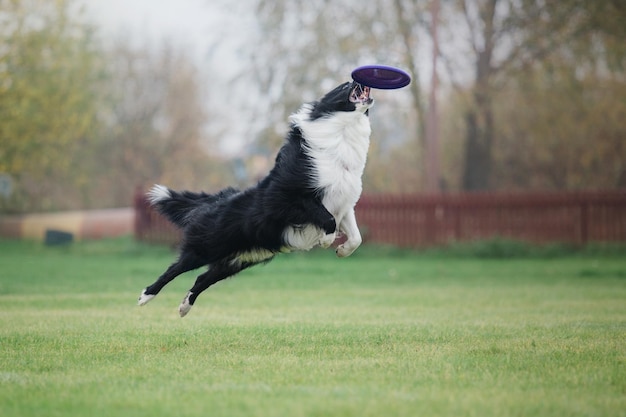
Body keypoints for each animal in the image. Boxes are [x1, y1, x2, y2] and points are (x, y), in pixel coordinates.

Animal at [137, 80, 370, 316]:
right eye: (345, 85)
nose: (357, 79)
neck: (341, 134)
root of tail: (215, 201)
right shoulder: (285, 199)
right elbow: (327, 218)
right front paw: (326, 240)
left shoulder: (344, 205)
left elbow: (356, 237)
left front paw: (342, 250)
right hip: (207, 246)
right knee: (175, 268)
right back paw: (145, 296)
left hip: (239, 259)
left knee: (203, 277)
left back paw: (185, 306)